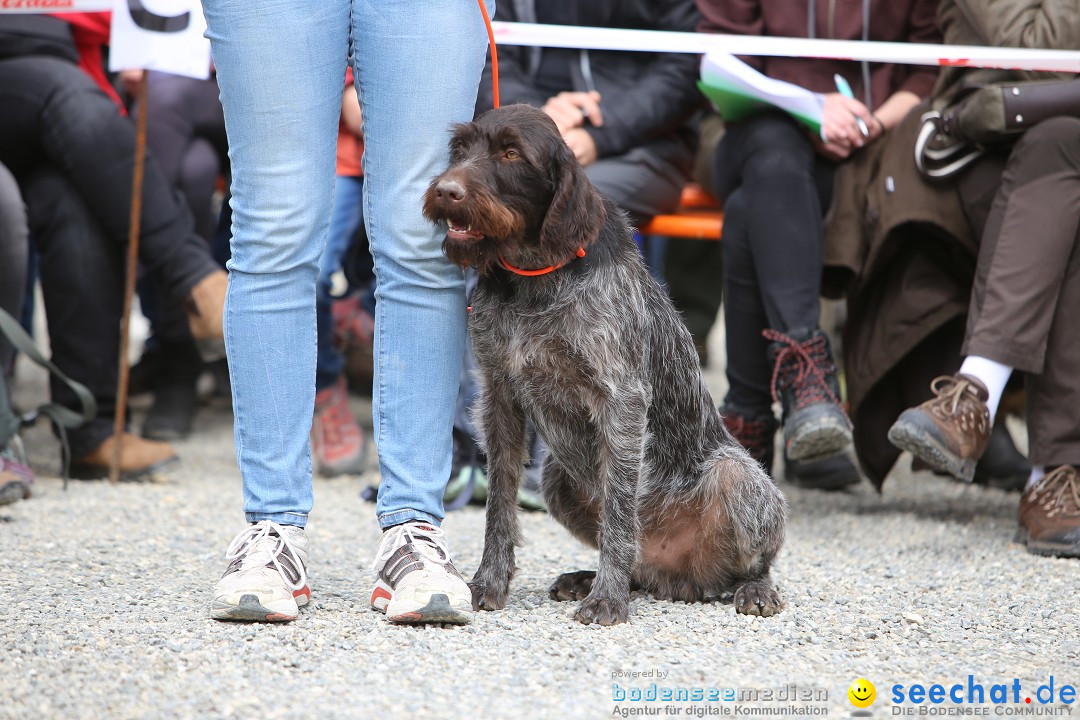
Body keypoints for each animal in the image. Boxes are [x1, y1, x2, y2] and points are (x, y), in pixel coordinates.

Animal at [421, 102, 786, 626]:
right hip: (555, 474)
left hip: (736, 477)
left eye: (511, 153)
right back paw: (590, 577)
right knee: (635, 559)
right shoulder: (499, 399)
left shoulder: (621, 400)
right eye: (460, 149)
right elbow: (499, 505)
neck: (535, 274)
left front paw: (608, 600)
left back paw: (752, 588)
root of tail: (682, 579)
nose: (446, 190)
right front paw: (489, 582)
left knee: (753, 559)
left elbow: (618, 511)